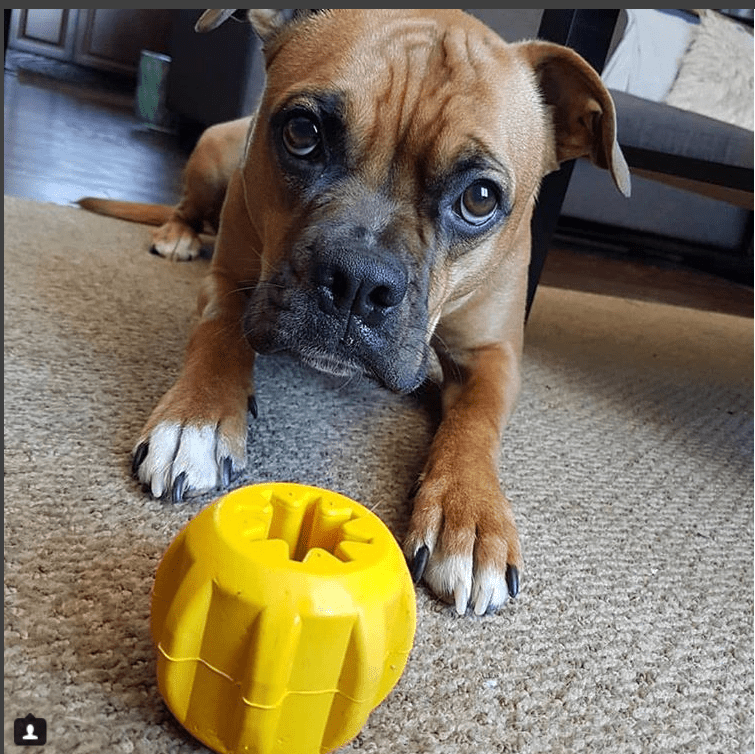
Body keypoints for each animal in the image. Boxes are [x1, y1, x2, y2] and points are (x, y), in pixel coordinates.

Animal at [79, 8, 628, 612]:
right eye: (302, 133)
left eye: (480, 198)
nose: (358, 280)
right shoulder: (228, 286)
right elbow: (218, 337)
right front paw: (193, 422)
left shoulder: (492, 356)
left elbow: (475, 424)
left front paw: (470, 515)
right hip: (213, 154)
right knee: (185, 208)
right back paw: (177, 234)